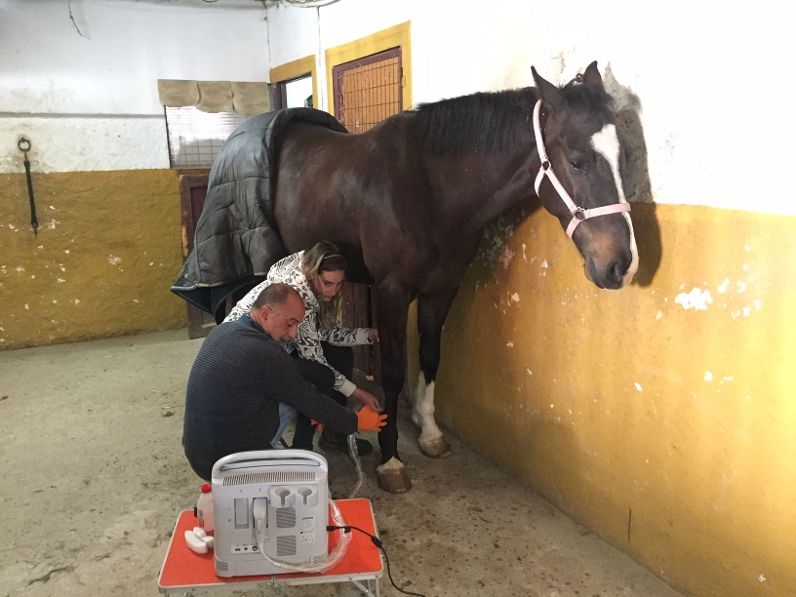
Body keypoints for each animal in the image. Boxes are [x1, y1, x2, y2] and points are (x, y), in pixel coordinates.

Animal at [270, 60, 636, 492]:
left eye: (625, 156)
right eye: (577, 161)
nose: (620, 265)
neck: (428, 188)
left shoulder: (442, 289)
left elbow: (430, 356)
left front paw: (429, 433)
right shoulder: (392, 292)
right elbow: (393, 372)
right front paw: (391, 458)